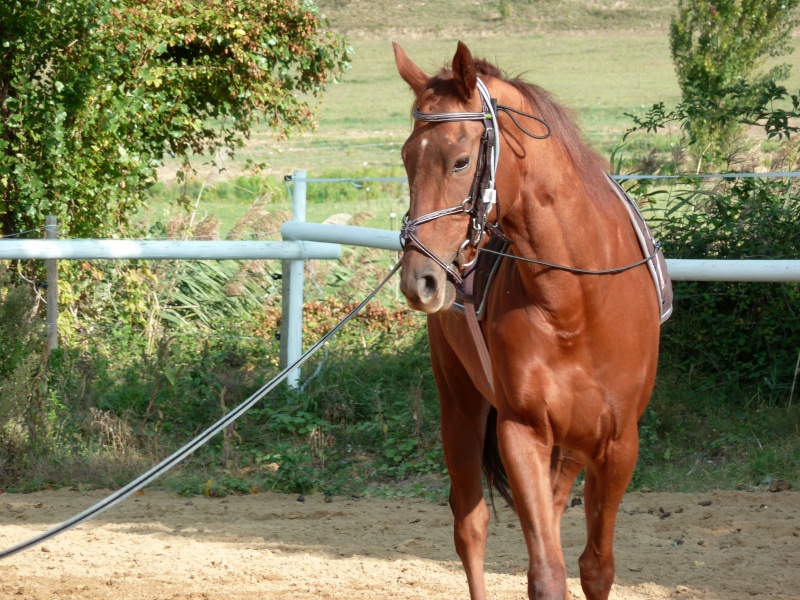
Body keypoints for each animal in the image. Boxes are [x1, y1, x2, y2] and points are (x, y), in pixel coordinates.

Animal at [396, 42, 664, 600]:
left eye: (460, 160)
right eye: (408, 158)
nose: (419, 280)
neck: (579, 301)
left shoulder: (618, 444)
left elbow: (595, 567)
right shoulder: (522, 432)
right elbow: (546, 572)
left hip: (574, 444)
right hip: (460, 403)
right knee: (470, 525)